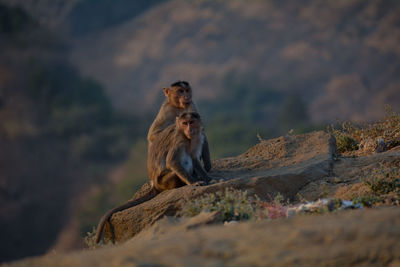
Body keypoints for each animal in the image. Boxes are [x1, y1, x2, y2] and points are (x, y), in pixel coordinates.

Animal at [95, 112, 211, 244]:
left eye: (191, 122)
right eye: (184, 123)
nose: (189, 129)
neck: (188, 138)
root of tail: (154, 185)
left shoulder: (198, 138)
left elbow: (195, 159)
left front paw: (207, 177)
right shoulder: (179, 140)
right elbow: (172, 161)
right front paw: (193, 182)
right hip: (165, 181)